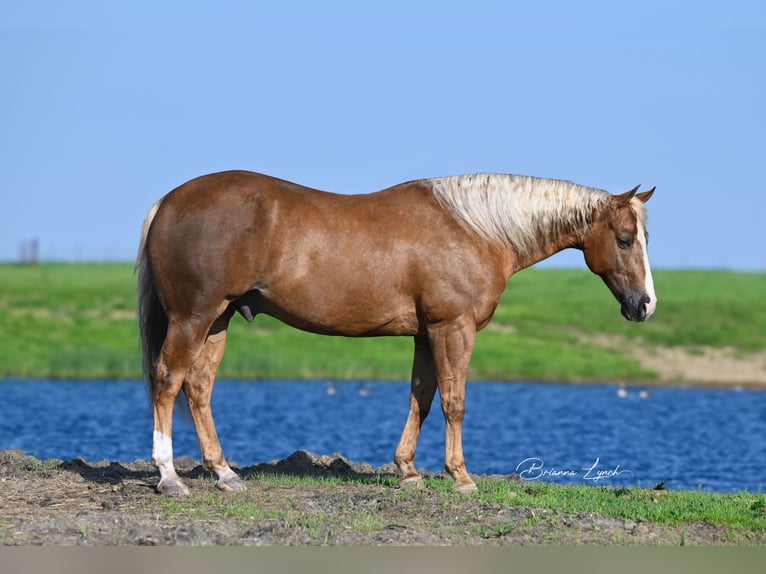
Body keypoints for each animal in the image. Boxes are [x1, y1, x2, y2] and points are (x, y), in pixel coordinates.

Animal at [136, 170, 656, 496]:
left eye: (645, 239)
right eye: (625, 239)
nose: (645, 305)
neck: (477, 229)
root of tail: (168, 201)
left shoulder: (427, 334)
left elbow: (421, 398)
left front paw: (408, 472)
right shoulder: (453, 328)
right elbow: (453, 401)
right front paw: (461, 478)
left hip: (218, 319)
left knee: (198, 387)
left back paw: (224, 473)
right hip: (192, 317)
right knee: (167, 381)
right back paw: (169, 477)